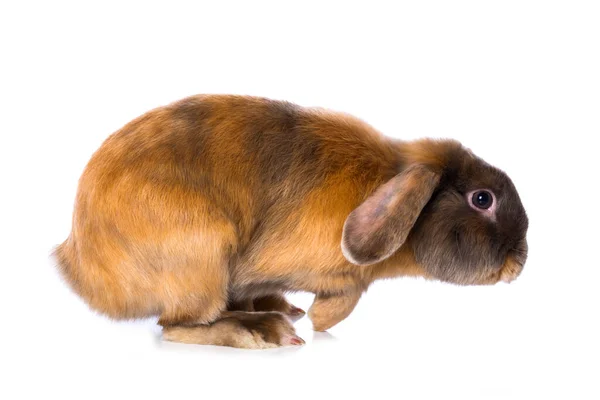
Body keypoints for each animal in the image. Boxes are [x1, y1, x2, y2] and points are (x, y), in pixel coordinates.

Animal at [54, 95, 528, 348]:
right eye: (482, 198)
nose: (520, 262)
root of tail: (80, 265)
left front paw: (305, 313)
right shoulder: (344, 279)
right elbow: (340, 304)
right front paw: (317, 321)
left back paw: (279, 308)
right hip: (203, 253)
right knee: (178, 326)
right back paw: (265, 332)